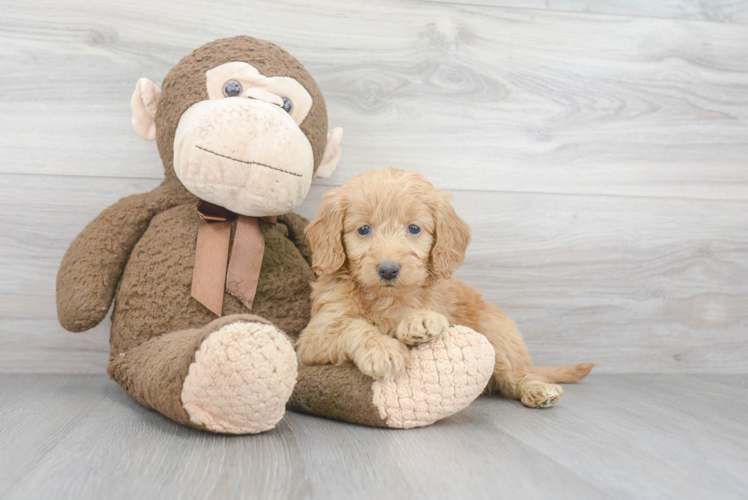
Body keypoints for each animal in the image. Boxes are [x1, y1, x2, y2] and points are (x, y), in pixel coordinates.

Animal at [298, 166, 596, 408]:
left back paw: (538, 389)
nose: (388, 270)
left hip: (496, 335)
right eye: (363, 230)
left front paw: (419, 320)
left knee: (514, 374)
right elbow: (353, 326)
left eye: (414, 228)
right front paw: (382, 349)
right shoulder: (316, 336)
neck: (387, 299)